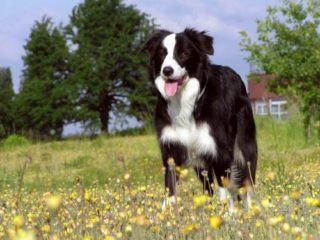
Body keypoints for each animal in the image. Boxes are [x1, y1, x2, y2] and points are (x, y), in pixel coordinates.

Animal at [142, 28, 258, 208]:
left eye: (184, 53)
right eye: (162, 53)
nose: (167, 71)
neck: (185, 101)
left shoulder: (219, 151)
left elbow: (225, 193)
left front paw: (228, 214)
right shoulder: (171, 149)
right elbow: (170, 190)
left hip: (245, 146)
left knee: (246, 183)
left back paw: (251, 210)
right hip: (201, 161)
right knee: (208, 189)